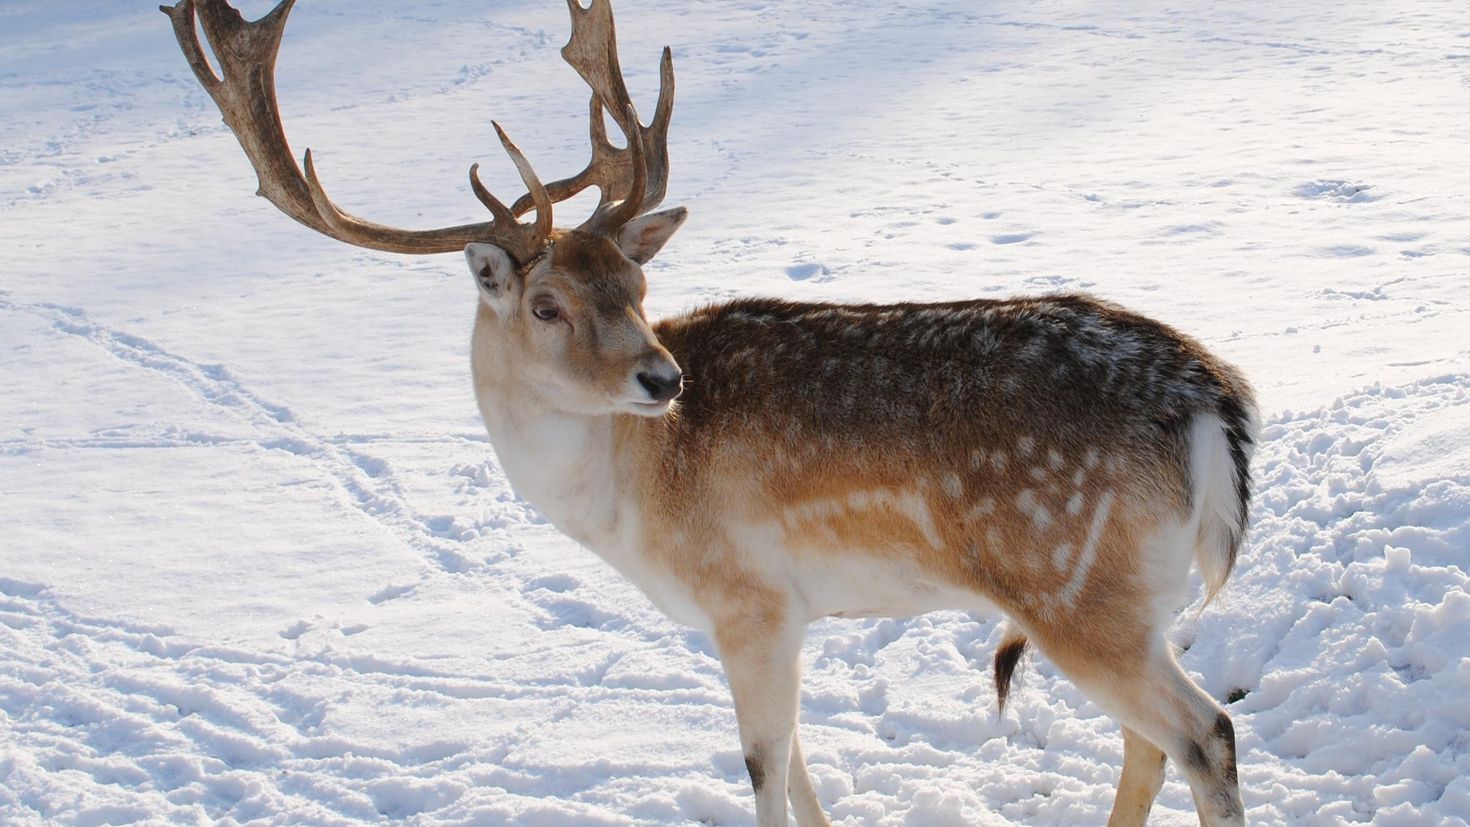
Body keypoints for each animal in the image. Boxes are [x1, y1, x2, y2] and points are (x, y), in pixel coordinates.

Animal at [166, 1, 1258, 827]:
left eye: (638, 283)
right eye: (547, 303)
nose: (663, 378)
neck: (629, 501)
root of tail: (1210, 398)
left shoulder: (746, 597)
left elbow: (764, 769)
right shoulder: (782, 614)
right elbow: (801, 763)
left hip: (1069, 581)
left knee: (1203, 731)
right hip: (1133, 595)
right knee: (1150, 741)